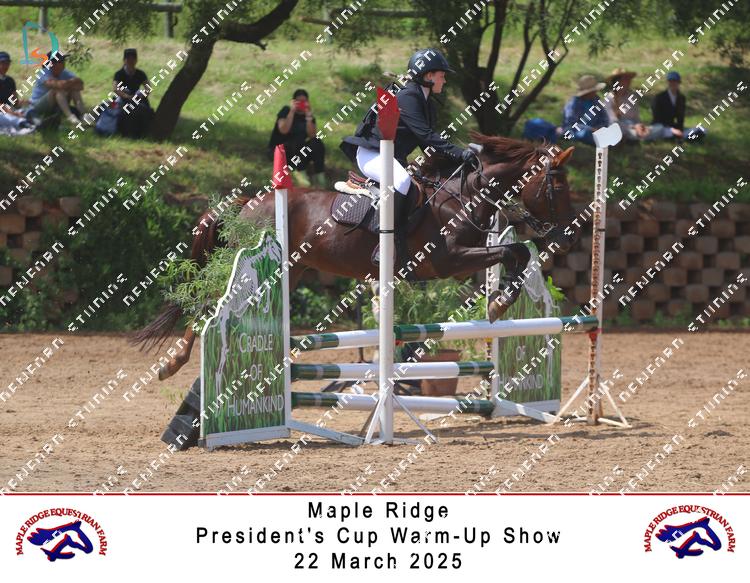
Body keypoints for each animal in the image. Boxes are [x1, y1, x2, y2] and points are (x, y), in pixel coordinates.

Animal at [132, 132, 579, 381]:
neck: (462, 195)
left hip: (293, 271)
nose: (567, 236)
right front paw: (499, 304)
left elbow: (516, 255)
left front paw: (498, 302)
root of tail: (248, 203)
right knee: (209, 304)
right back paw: (172, 363)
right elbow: (513, 250)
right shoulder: (449, 260)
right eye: (557, 187)